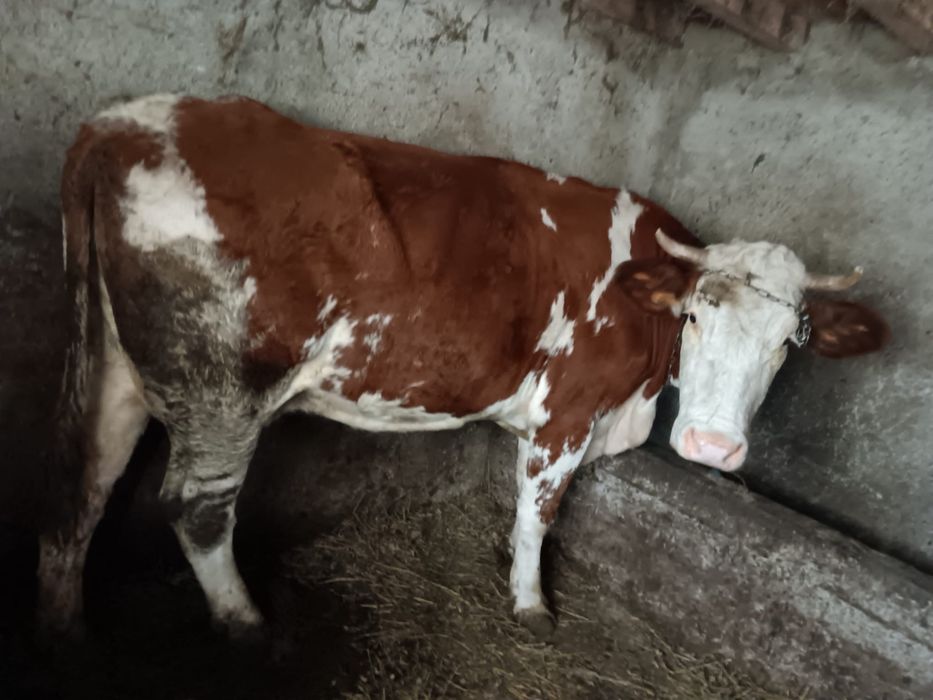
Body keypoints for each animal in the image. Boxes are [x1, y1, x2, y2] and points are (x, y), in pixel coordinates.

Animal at [37, 94, 889, 641]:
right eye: (693, 316)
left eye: (788, 341)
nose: (712, 447)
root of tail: (126, 122)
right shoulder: (565, 414)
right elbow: (538, 514)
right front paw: (530, 604)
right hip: (223, 390)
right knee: (195, 506)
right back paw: (245, 621)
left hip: (118, 370)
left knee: (87, 480)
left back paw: (65, 624)